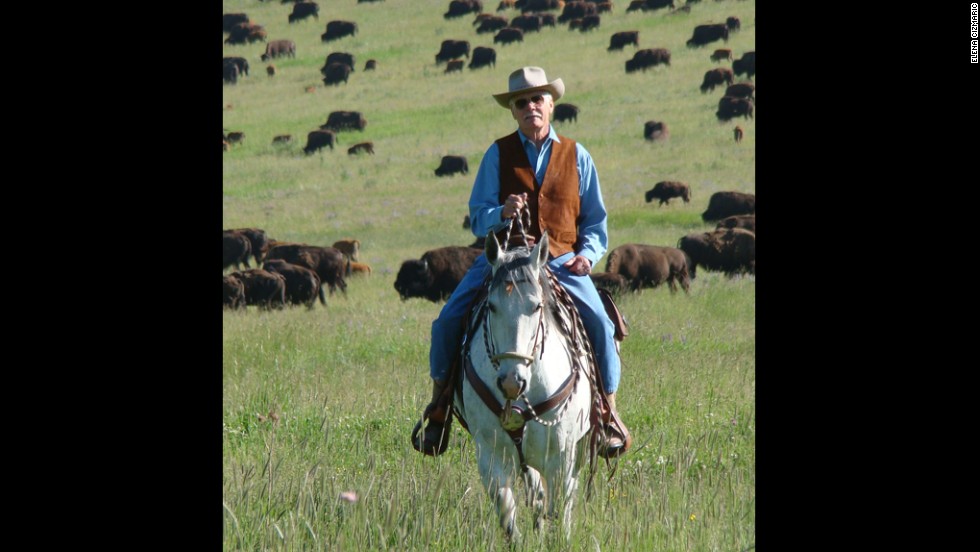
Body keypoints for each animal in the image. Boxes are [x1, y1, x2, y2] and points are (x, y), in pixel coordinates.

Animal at [454, 231, 596, 540]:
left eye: (537, 306)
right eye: (491, 306)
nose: (511, 382)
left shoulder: (562, 457)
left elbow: (561, 514)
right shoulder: (490, 455)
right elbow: (509, 518)